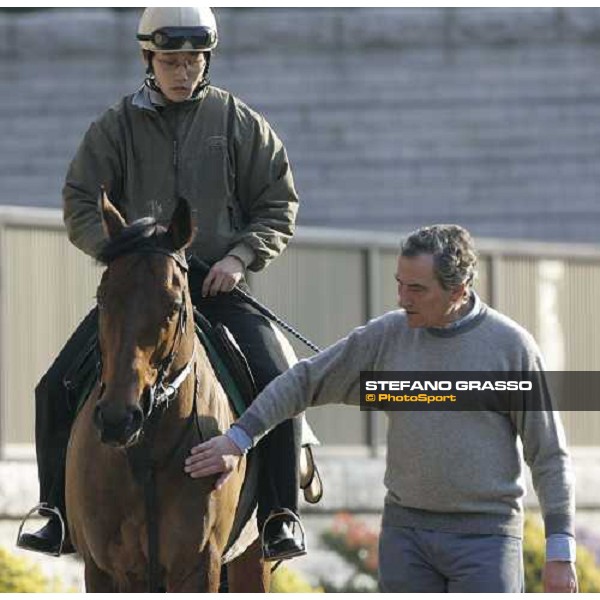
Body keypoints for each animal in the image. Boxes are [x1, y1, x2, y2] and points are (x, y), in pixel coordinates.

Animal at [64, 195, 268, 592]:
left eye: (174, 306)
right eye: (103, 298)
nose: (118, 419)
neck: (146, 454)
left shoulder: (197, 567)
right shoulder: (103, 569)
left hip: (253, 558)